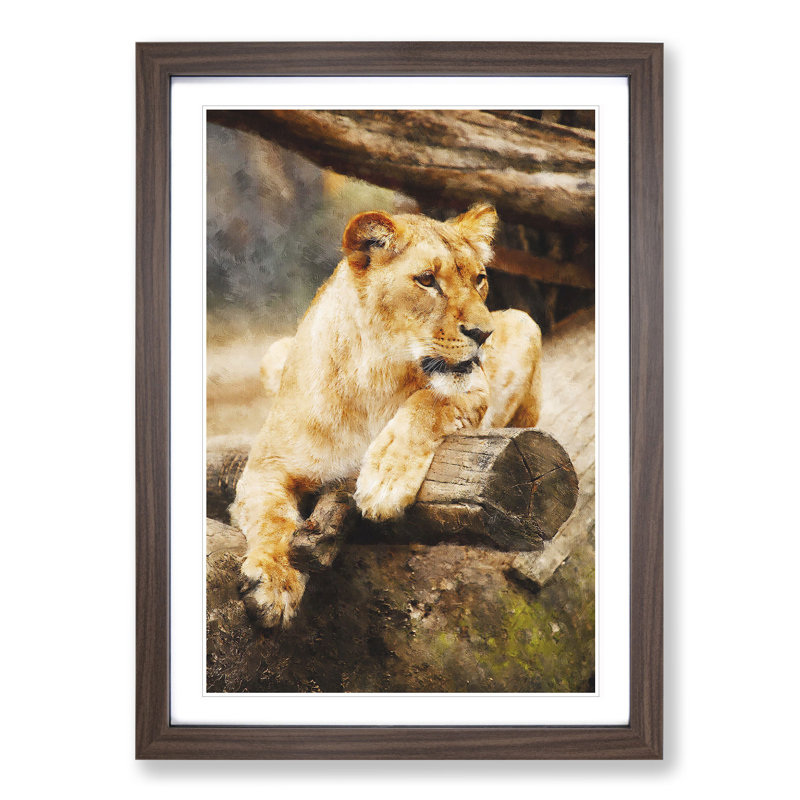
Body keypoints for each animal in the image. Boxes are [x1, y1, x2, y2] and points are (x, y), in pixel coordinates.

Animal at [231, 204, 542, 628]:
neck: (376, 377)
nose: (483, 334)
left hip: (526, 323)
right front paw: (274, 584)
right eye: (427, 280)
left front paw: (384, 482)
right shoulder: (266, 466)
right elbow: (272, 518)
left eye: (479, 280)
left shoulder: (475, 389)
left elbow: (428, 402)